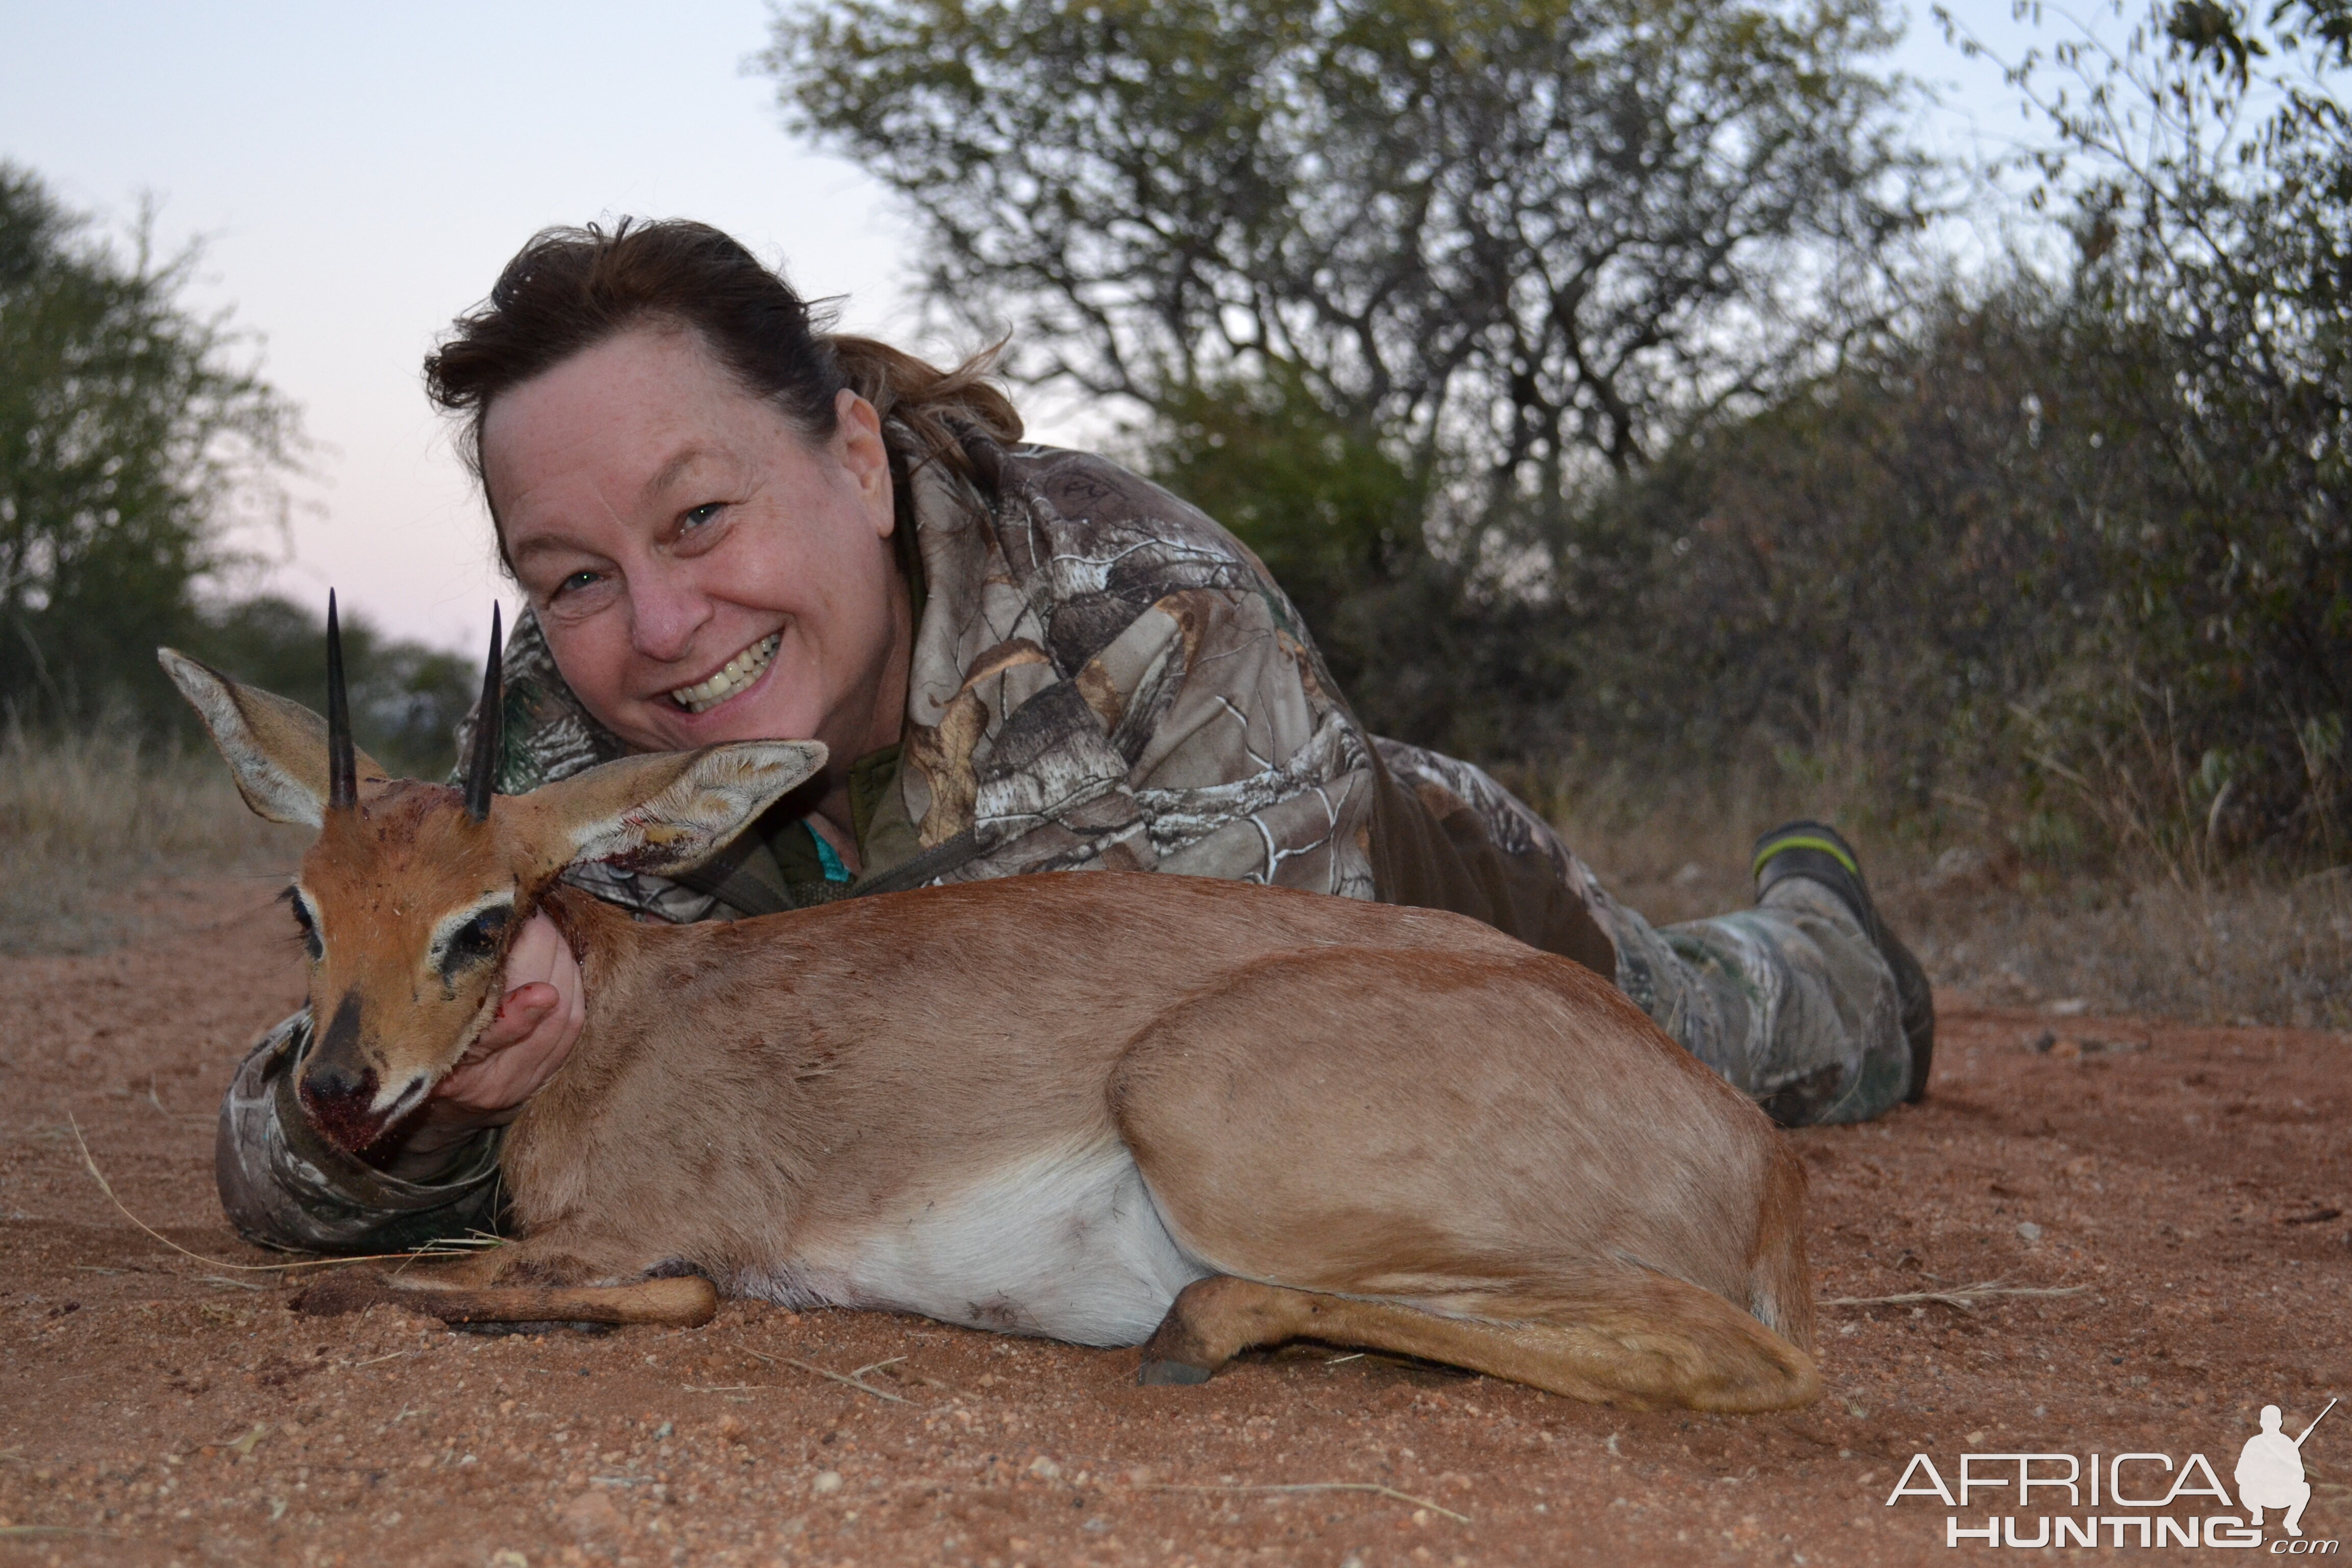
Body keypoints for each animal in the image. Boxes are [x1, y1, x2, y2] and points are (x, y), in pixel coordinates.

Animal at [165, 606, 1816, 1419]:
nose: (339, 1086)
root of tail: (1749, 1153)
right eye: (306, 907)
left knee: (1745, 1354)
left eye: (484, 919)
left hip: (1215, 1130)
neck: (626, 1014)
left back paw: (1194, 1332)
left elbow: (519, 1274)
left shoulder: (639, 1230)